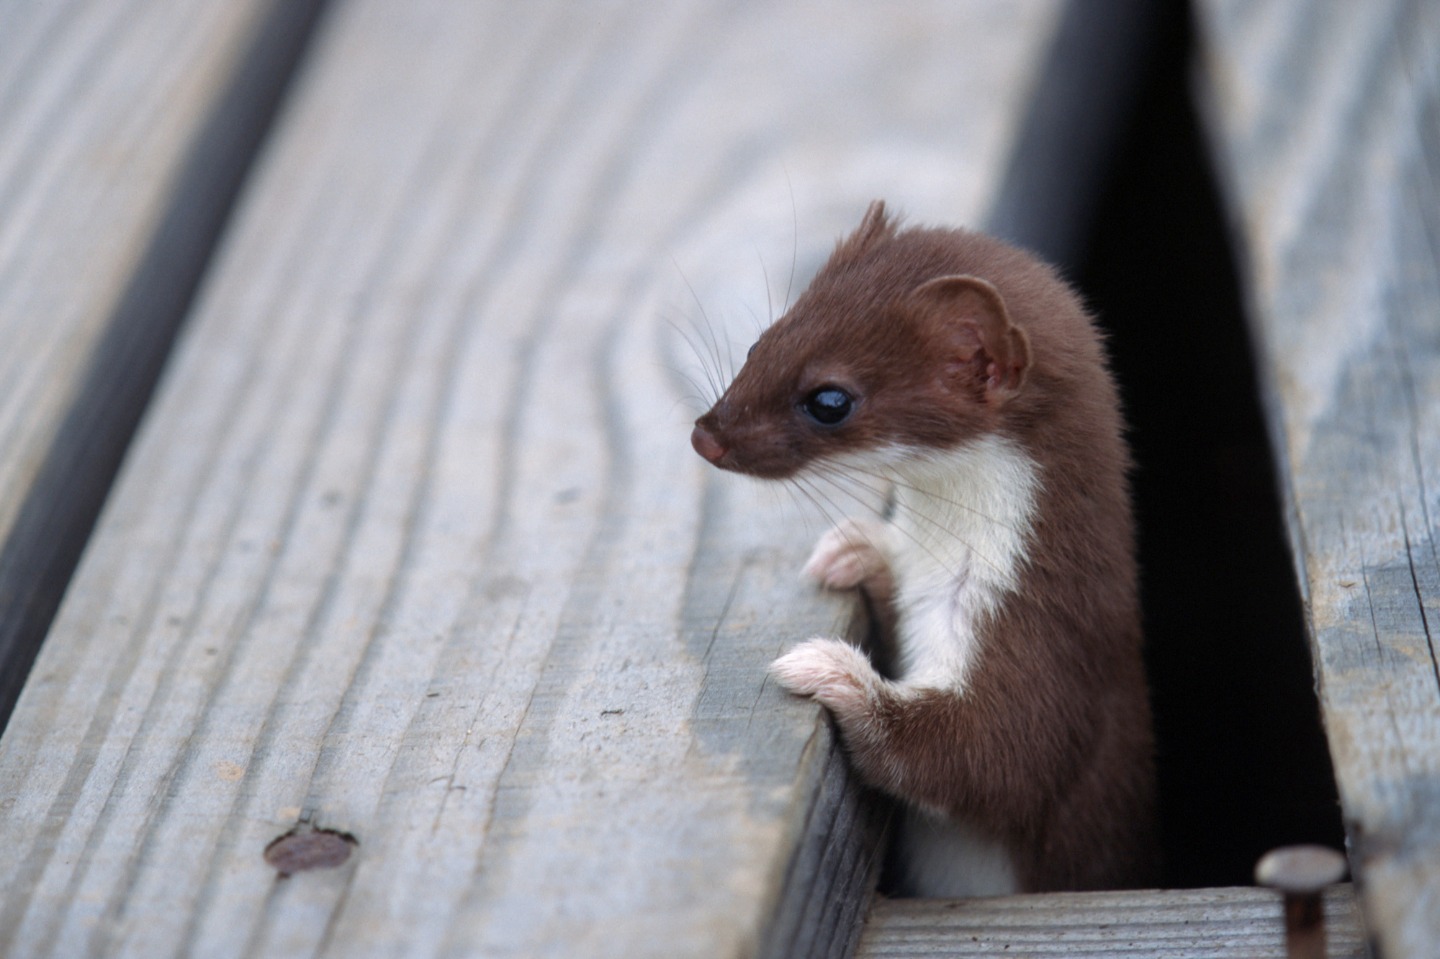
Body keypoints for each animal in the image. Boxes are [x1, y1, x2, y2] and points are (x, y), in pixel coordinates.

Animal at [688, 197, 1157, 892]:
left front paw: (831, 669)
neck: (944, 555)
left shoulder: (1045, 645)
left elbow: (991, 760)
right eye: (762, 341)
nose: (705, 436)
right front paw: (858, 550)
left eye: (830, 399)